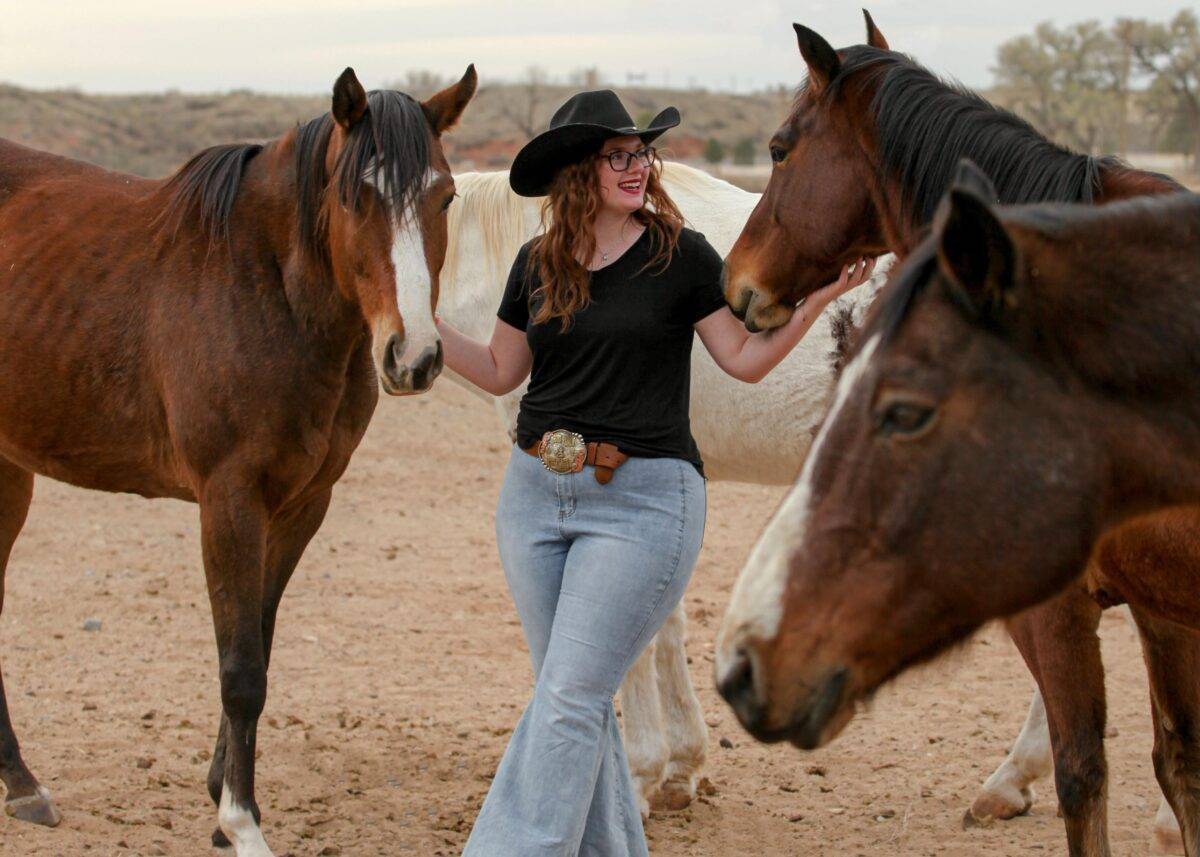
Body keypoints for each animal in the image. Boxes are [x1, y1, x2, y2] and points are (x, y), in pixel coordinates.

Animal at [0, 63, 477, 849]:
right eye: (355, 196)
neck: (265, 289)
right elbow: (241, 669)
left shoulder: (301, 505)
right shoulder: (229, 501)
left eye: (445, 196)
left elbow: (260, 639)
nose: (413, 357)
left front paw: (223, 797)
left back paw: (21, 782)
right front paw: (242, 822)